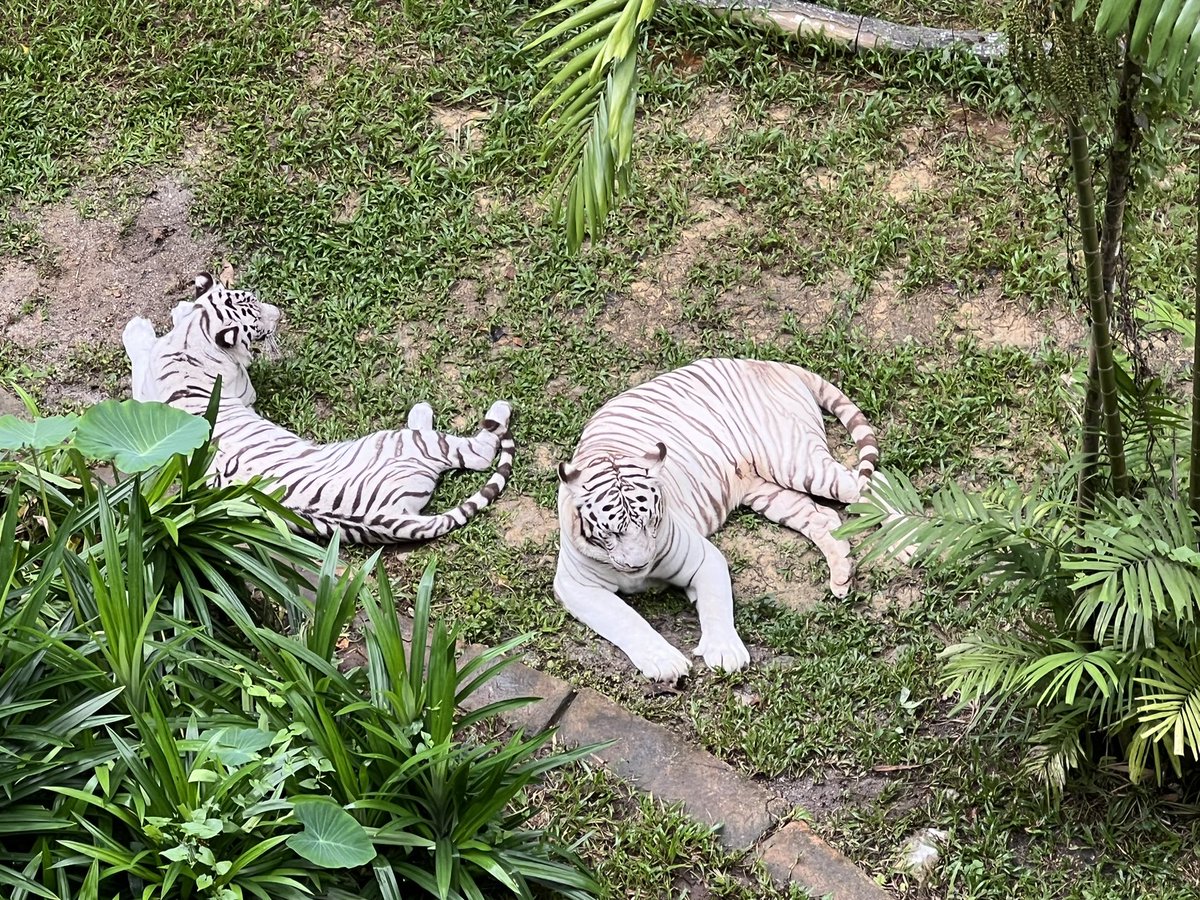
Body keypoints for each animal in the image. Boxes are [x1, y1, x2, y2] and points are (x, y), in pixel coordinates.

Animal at [121, 272, 514, 543]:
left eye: (254, 297)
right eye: (258, 324)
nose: (280, 313)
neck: (194, 339)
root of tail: (392, 520)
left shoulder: (147, 385)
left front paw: (163, 315)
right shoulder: (243, 389)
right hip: (401, 442)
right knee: (476, 453)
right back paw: (486, 408)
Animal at [555, 357, 903, 682]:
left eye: (651, 523)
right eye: (611, 532)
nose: (639, 564)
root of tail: (766, 361)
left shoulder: (702, 557)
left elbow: (715, 604)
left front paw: (725, 654)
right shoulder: (576, 585)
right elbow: (626, 620)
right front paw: (666, 662)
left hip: (796, 460)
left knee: (870, 482)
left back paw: (906, 544)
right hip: (767, 490)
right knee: (824, 515)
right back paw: (842, 575)